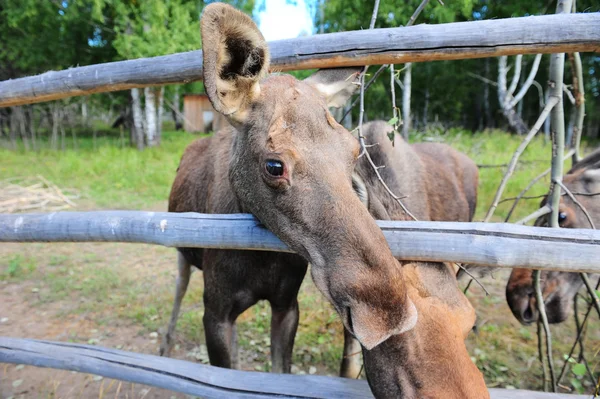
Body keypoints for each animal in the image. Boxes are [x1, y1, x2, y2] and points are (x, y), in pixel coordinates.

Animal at [161, 3, 488, 399]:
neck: (258, 258)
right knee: (178, 290)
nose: (387, 310)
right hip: (182, 253)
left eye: (352, 150)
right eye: (274, 165)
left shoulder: (287, 305)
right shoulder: (217, 313)